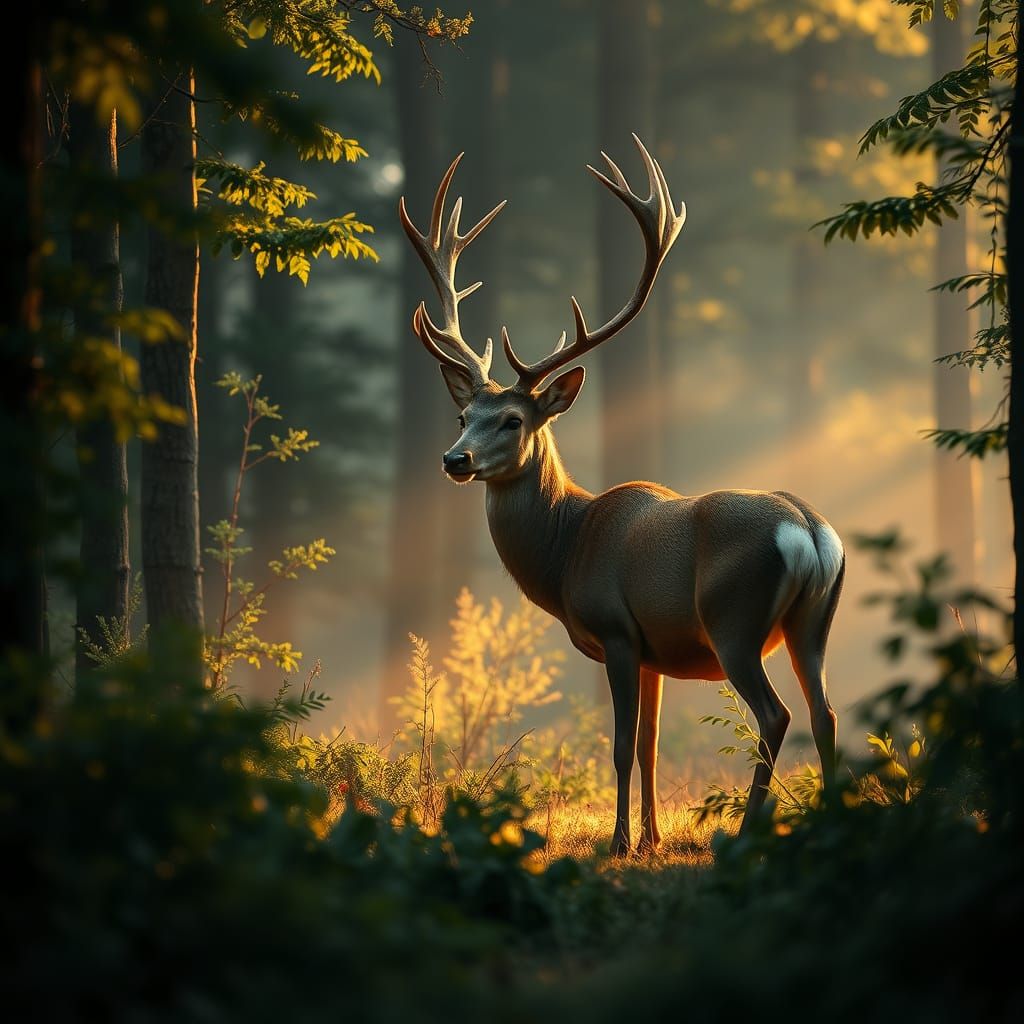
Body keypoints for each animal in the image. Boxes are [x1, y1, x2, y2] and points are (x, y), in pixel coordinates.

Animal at [398, 135, 845, 855]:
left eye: (512, 420)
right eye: (463, 415)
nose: (454, 459)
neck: (566, 551)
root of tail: (807, 529)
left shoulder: (616, 630)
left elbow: (618, 745)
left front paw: (617, 841)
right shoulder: (656, 650)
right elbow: (651, 746)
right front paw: (652, 839)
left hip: (734, 620)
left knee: (776, 715)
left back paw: (747, 830)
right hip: (814, 621)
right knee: (826, 712)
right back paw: (830, 821)